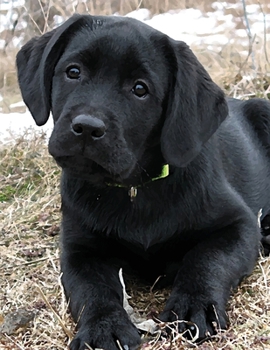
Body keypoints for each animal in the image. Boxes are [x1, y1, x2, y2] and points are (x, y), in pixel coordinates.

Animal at [15, 13, 270, 350]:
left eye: (140, 89)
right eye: (73, 72)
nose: (87, 127)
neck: (135, 189)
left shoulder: (239, 224)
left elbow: (207, 260)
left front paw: (192, 305)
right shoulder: (78, 249)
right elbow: (91, 288)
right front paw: (103, 328)